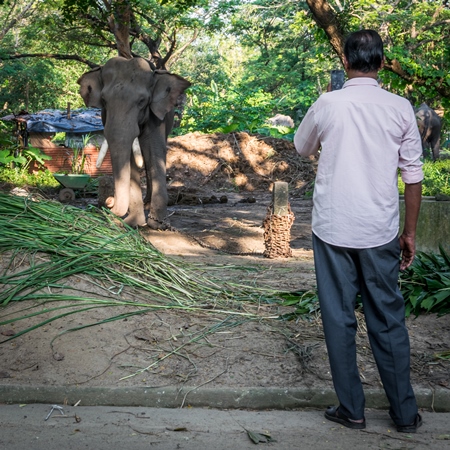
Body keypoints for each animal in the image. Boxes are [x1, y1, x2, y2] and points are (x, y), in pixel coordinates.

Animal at [77, 56, 190, 229]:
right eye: (104, 100)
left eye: (142, 101)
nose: (109, 202)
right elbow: (129, 159)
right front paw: (133, 223)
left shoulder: (156, 115)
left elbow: (155, 151)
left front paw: (158, 225)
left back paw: (148, 205)